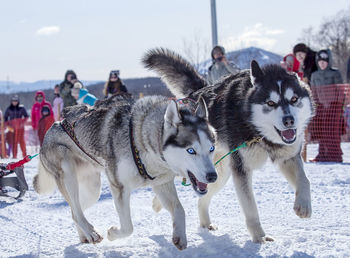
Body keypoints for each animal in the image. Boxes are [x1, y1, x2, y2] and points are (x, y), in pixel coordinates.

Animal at [34, 94, 217, 250]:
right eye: (191, 150)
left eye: (211, 149)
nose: (212, 176)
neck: (141, 139)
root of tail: (56, 124)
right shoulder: (119, 187)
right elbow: (128, 227)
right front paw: (113, 234)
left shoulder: (162, 183)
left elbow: (179, 209)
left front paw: (180, 236)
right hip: (67, 172)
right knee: (76, 211)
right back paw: (91, 232)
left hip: (93, 190)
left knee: (74, 209)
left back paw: (85, 235)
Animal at [142, 49, 314, 244]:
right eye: (270, 103)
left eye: (294, 99)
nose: (289, 120)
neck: (255, 128)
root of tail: (197, 94)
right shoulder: (241, 169)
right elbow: (250, 207)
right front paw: (259, 236)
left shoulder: (288, 157)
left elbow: (304, 179)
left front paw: (303, 205)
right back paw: (157, 202)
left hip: (218, 174)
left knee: (202, 198)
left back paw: (204, 222)